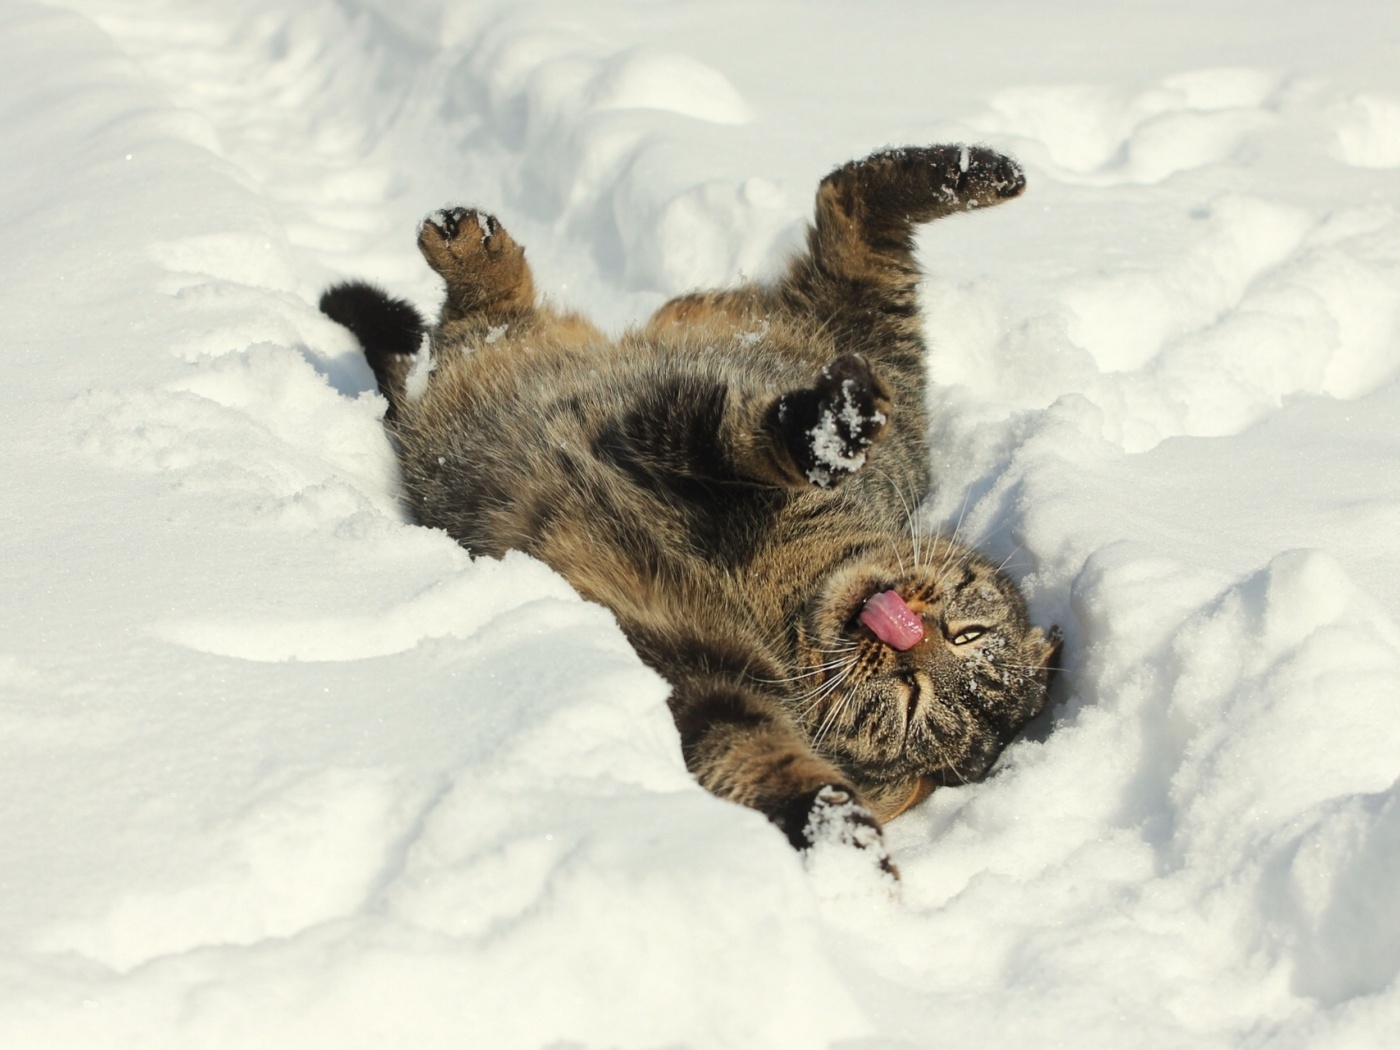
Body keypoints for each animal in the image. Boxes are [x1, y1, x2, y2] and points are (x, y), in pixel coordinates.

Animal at [320, 148, 1058, 873]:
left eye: (912, 704)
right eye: (965, 635)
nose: (910, 638)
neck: (783, 587)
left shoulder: (704, 680)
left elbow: (764, 760)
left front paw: (845, 846)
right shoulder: (677, 430)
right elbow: (744, 436)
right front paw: (826, 429)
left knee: (471, 329)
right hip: (867, 341)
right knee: (849, 206)